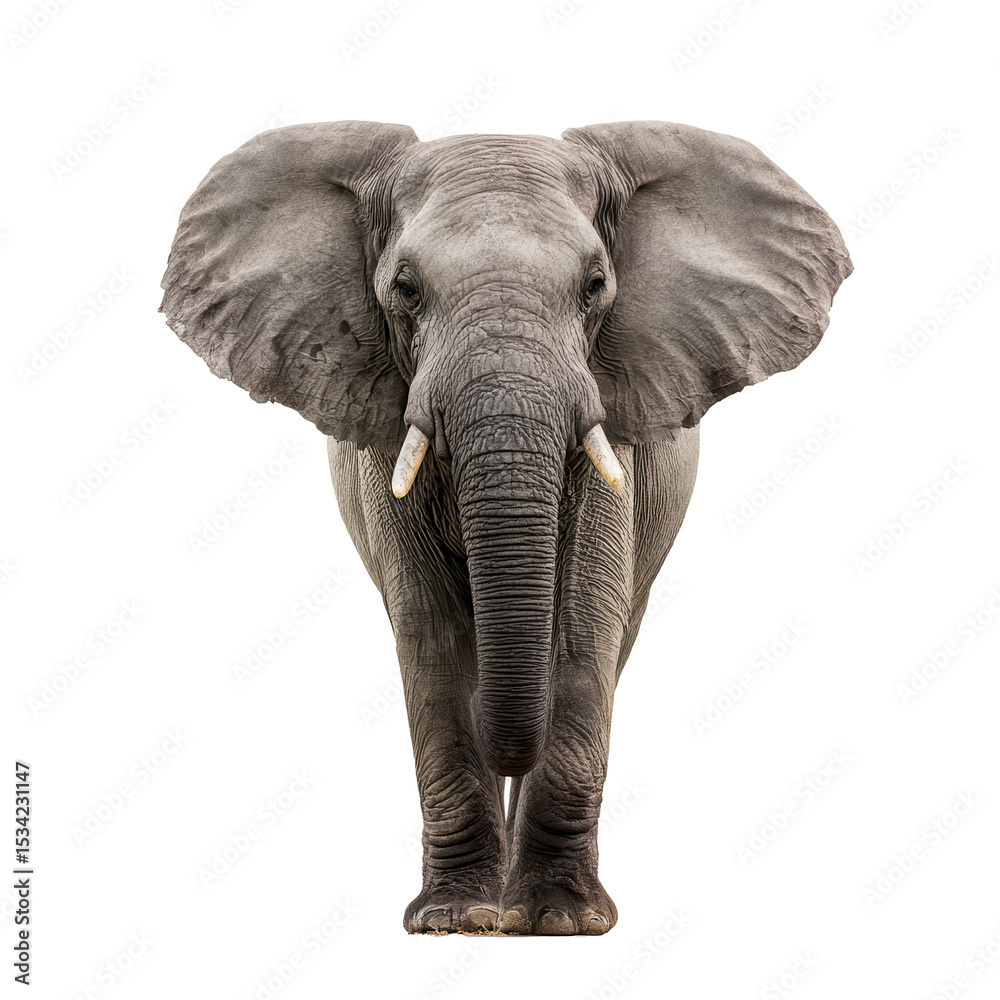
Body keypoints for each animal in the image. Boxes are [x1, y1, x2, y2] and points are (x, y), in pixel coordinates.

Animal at [160, 119, 851, 935]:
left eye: (595, 286)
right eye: (405, 289)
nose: (511, 752)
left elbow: (581, 631)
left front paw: (559, 922)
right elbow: (431, 635)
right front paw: (455, 920)